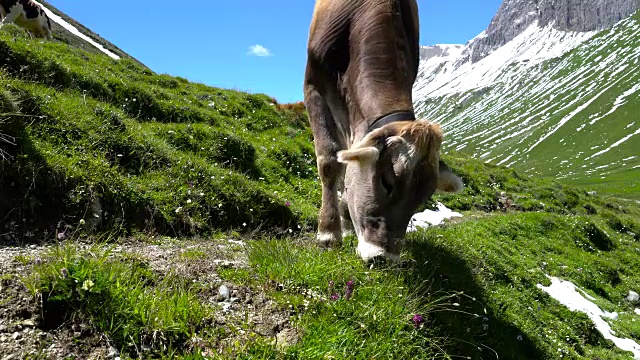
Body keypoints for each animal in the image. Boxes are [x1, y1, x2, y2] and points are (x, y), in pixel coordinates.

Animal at [302, 0, 462, 264]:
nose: (383, 257)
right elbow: (329, 161)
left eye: (424, 197)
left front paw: (346, 218)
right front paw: (328, 232)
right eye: (387, 181)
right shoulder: (314, 85)